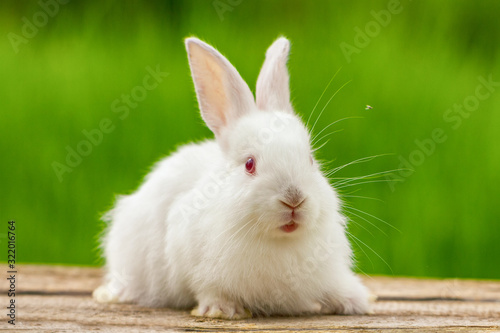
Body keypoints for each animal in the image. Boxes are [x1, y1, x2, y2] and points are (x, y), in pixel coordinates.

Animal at [93, 35, 372, 318]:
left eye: (310, 160)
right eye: (249, 164)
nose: (294, 200)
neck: (278, 240)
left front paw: (355, 301)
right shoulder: (193, 261)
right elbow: (208, 288)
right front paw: (221, 309)